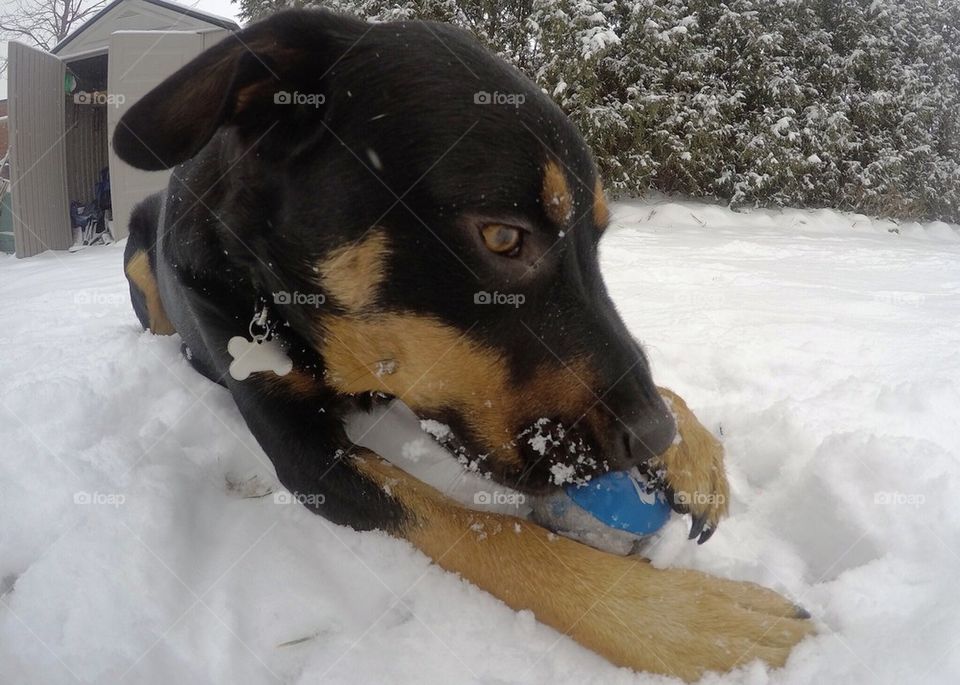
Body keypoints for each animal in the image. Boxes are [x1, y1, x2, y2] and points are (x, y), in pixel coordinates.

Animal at [116, 9, 812, 680]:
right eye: (503, 237)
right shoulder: (304, 454)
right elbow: (485, 529)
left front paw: (691, 447)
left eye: (596, 241)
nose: (653, 435)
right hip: (138, 260)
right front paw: (692, 622)